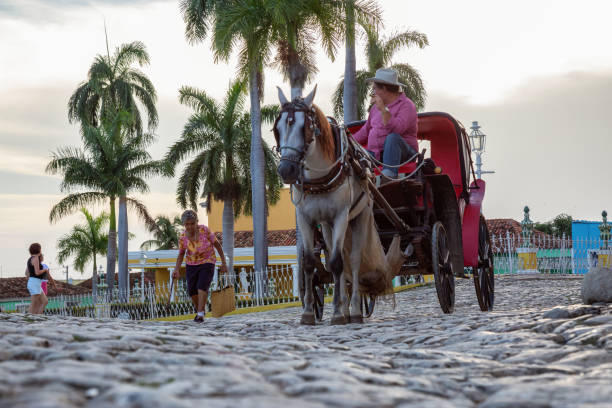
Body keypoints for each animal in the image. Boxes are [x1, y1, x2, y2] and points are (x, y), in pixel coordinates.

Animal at [274, 86, 404, 326]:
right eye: (277, 128)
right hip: (326, 226)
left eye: (305, 127)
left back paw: (353, 310)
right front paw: (308, 313)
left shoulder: (341, 216)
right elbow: (310, 263)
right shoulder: (306, 219)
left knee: (353, 260)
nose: (286, 170)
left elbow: (337, 263)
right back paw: (344, 306)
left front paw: (337, 313)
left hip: (360, 216)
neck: (320, 177)